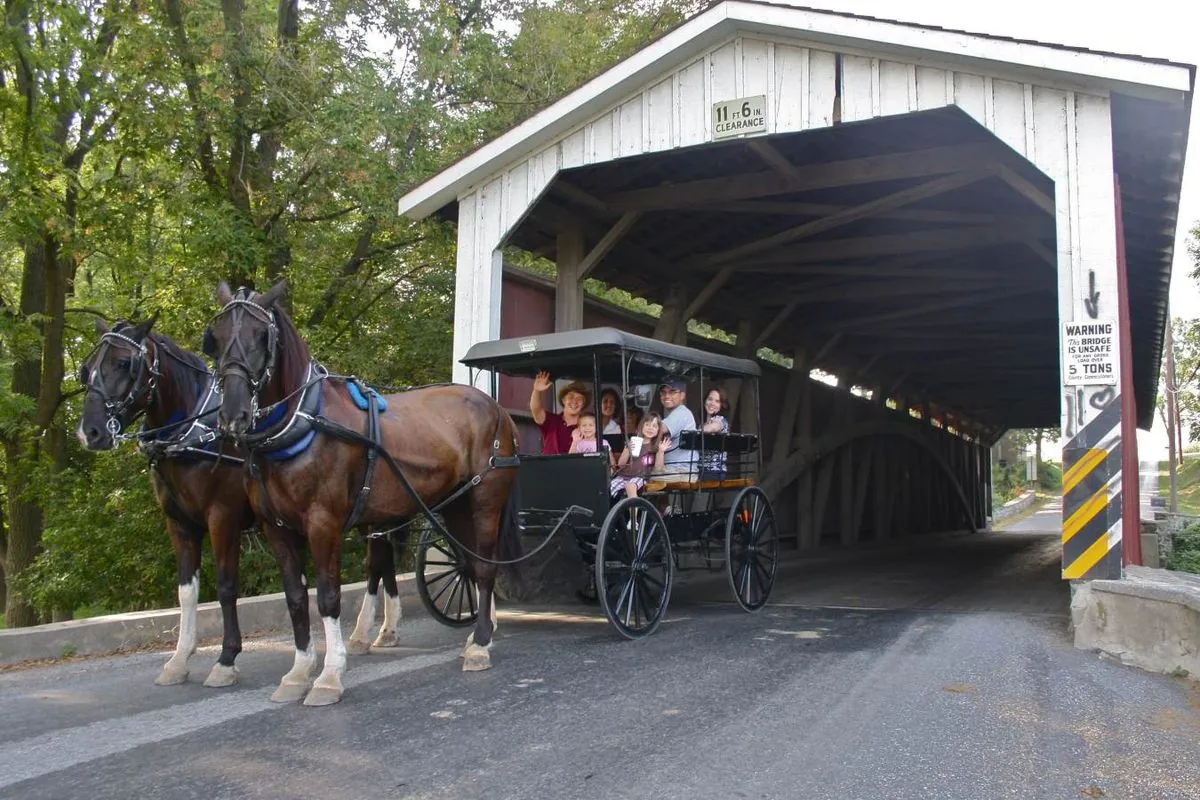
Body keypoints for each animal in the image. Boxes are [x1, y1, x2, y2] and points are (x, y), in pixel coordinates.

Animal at [79, 316, 267, 690]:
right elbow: (186, 592)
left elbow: (226, 587)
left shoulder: (223, 518)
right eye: (87, 369)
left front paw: (226, 659)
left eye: (124, 363)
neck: (195, 435)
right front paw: (179, 660)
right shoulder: (179, 524)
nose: (90, 432)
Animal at [205, 281, 520, 705]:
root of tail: (496, 408)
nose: (232, 415)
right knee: (469, 563)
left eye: (261, 336)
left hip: (485, 499)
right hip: (455, 504)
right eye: (217, 337)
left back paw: (481, 644)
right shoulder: (277, 528)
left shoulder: (324, 522)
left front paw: (329, 676)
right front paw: (298, 672)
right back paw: (477, 633)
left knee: (485, 567)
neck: (302, 425)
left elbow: (327, 597)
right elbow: (296, 597)